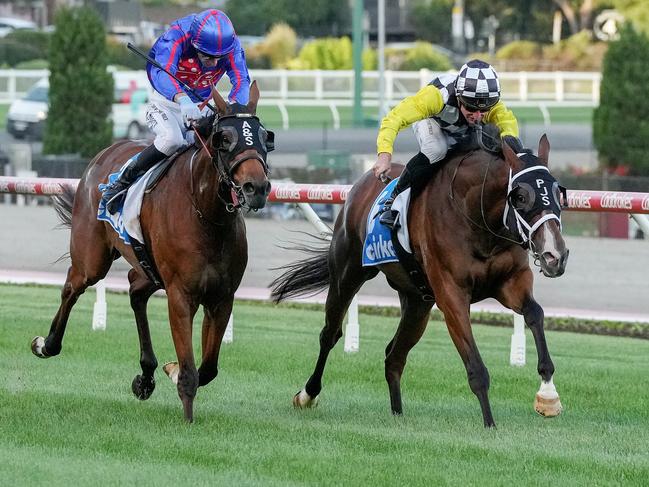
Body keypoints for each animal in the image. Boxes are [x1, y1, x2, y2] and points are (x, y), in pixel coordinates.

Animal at [31, 82, 274, 422]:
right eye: (225, 139)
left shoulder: (221, 297)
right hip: (92, 258)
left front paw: (168, 372)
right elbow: (191, 372)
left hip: (149, 266)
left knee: (135, 289)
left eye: (265, 137)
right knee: (72, 285)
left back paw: (145, 376)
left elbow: (208, 368)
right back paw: (47, 344)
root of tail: (104, 154)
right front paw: (187, 417)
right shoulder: (181, 295)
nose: (257, 187)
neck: (207, 214)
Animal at [270, 132, 568, 428]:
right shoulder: (451, 295)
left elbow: (535, 313)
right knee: (330, 334)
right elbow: (475, 367)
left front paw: (548, 394)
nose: (555, 255)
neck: (478, 219)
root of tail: (360, 185)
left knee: (394, 355)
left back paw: (397, 414)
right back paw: (307, 395)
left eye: (558, 192)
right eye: (520, 196)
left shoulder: (511, 281)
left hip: (418, 302)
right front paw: (490, 425)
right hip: (347, 274)